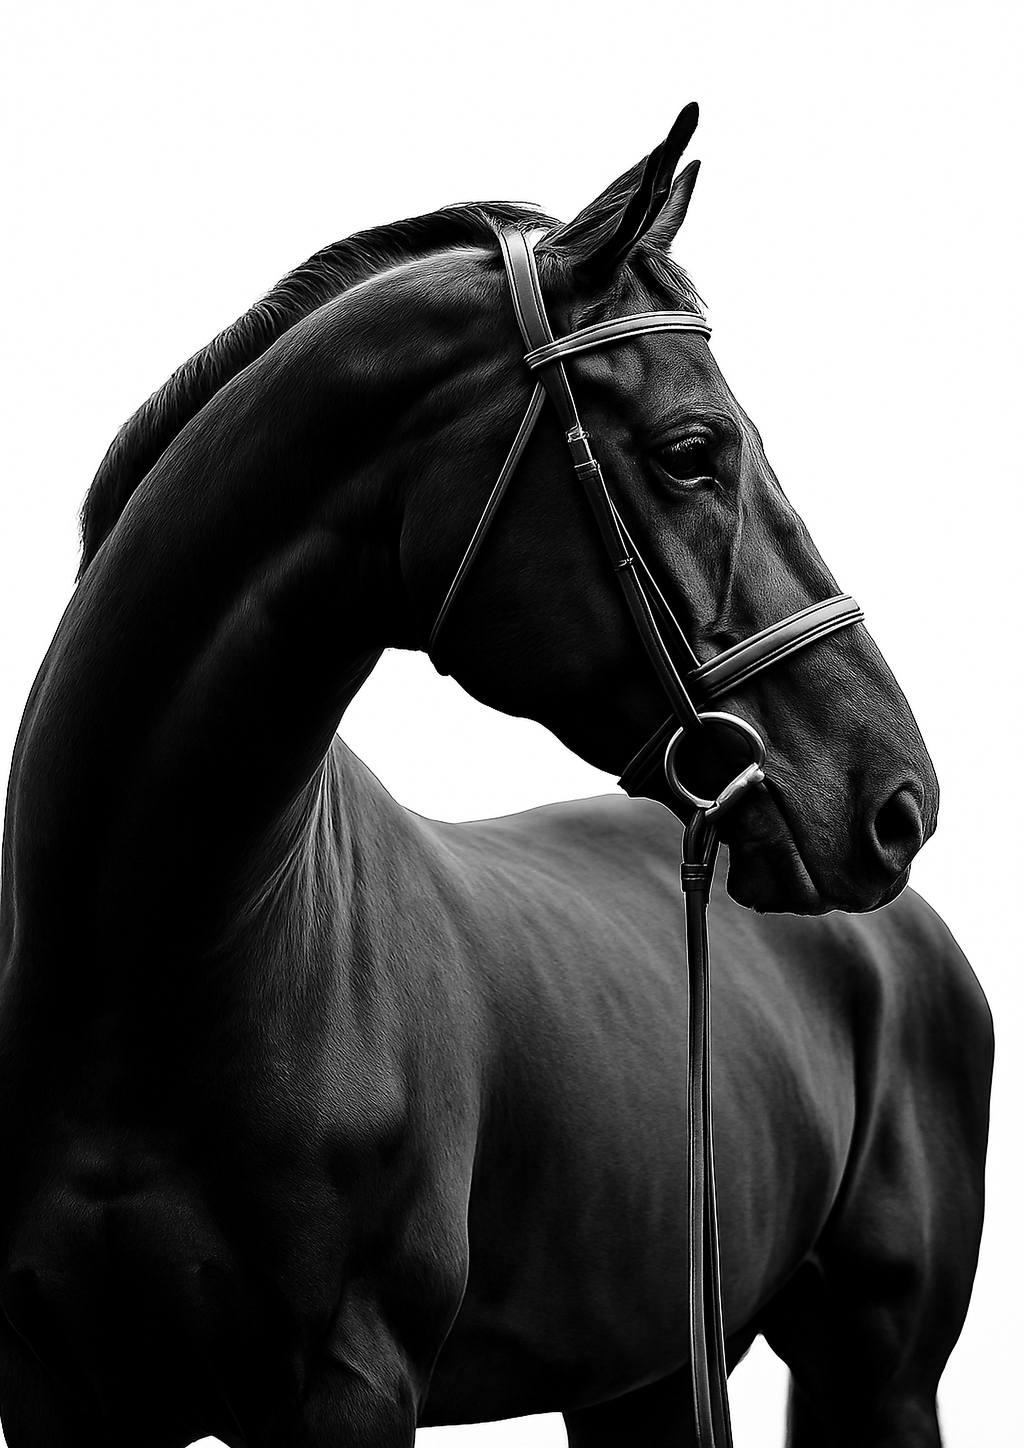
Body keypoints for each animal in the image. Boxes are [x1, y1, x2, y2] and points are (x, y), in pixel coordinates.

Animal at [0, 104, 992, 1448]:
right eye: (692, 453)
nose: (896, 799)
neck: (141, 970)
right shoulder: (58, 1389)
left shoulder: (348, 1384)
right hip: (647, 1372)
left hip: (879, 1366)